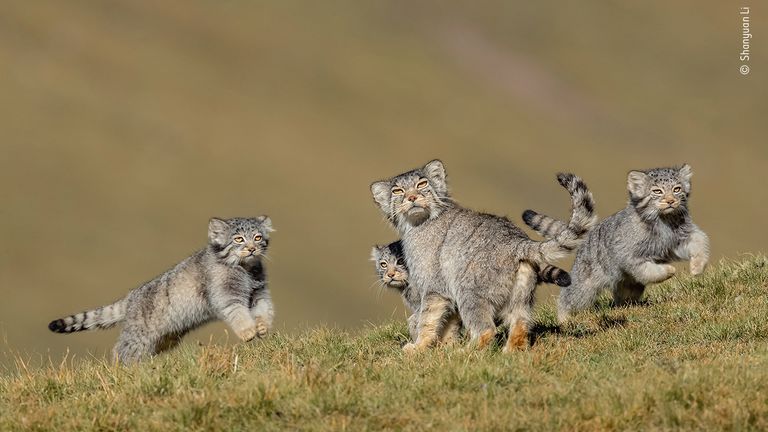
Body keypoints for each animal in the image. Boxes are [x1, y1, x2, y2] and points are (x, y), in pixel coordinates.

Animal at [48, 218, 276, 362]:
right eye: (238, 239)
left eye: (257, 237)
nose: (252, 249)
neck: (246, 270)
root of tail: (131, 297)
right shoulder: (226, 294)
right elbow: (238, 313)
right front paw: (248, 331)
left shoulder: (258, 293)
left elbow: (264, 308)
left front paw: (262, 326)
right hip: (139, 335)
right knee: (121, 351)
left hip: (164, 336)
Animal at [368, 160, 596, 352]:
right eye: (397, 190)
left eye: (422, 183)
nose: (412, 197)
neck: (418, 224)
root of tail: (517, 241)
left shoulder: (434, 288)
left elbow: (426, 321)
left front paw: (418, 348)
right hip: (520, 297)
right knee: (520, 325)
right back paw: (508, 353)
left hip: (469, 292)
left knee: (486, 330)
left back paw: (463, 354)